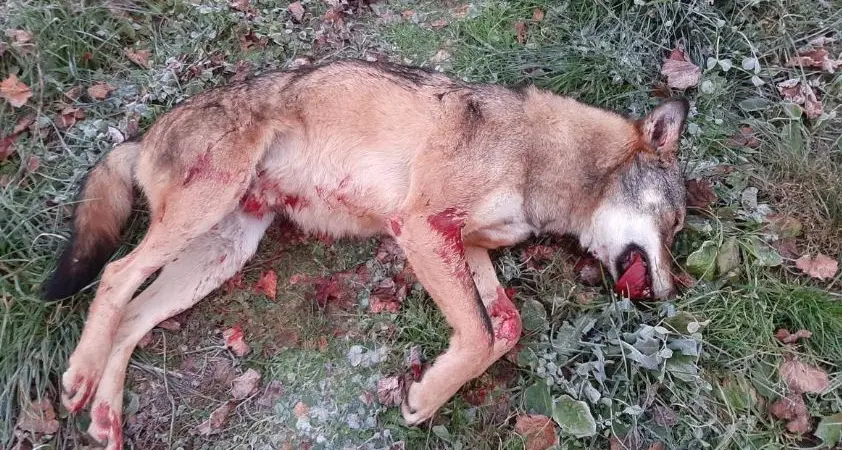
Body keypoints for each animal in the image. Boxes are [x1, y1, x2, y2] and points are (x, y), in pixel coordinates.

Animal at [42, 59, 688, 449]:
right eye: (677, 224)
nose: (670, 293)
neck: (542, 155)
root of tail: (142, 135)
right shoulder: (421, 228)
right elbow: (481, 336)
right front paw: (424, 398)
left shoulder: (464, 243)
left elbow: (504, 328)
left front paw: (436, 385)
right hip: (202, 215)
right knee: (116, 275)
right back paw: (80, 375)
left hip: (221, 255)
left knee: (132, 316)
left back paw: (105, 414)